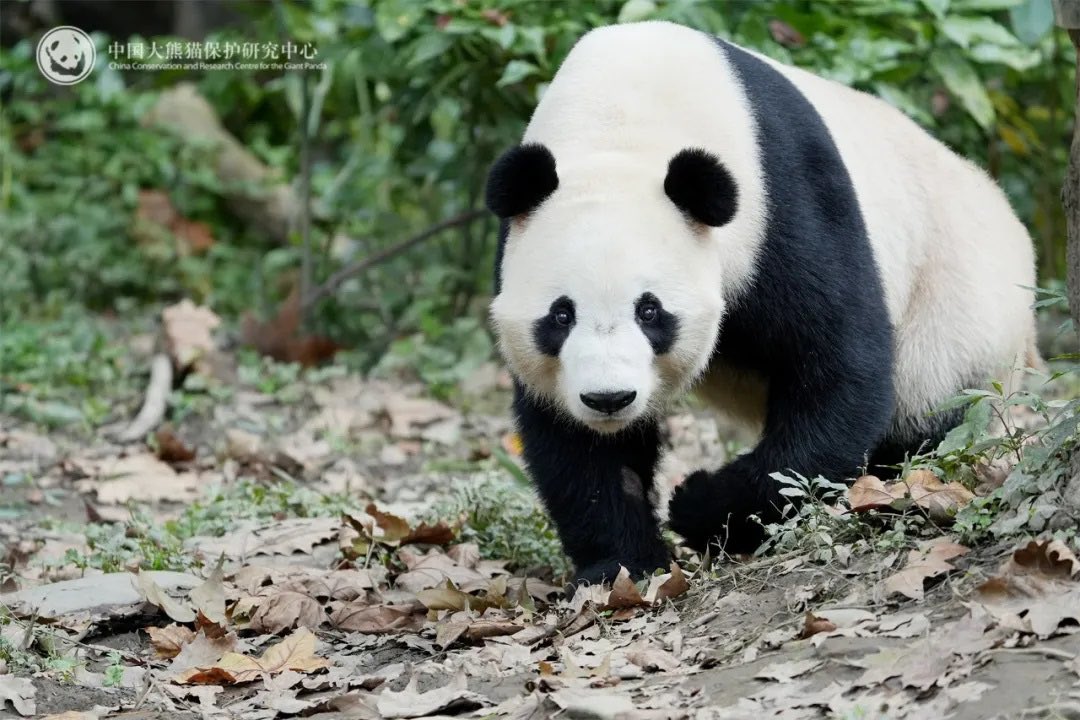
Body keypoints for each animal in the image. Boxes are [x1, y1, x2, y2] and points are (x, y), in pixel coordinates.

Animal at [485, 21, 1038, 586]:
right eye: (561, 315)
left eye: (650, 311)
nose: (609, 398)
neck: (619, 127)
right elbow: (576, 445)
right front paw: (622, 565)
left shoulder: (781, 199)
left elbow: (837, 363)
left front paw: (702, 505)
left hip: (953, 297)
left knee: (930, 411)